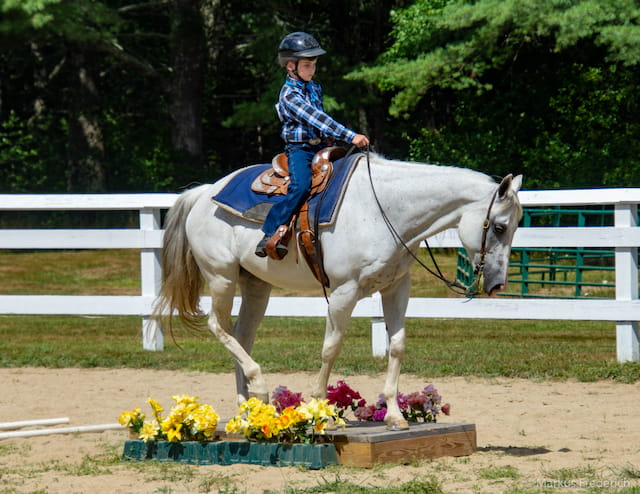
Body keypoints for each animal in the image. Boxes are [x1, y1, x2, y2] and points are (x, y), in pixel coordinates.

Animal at [152, 152, 524, 430]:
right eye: (500, 226)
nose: (498, 284)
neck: (385, 209)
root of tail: (204, 194)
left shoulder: (396, 287)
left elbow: (397, 345)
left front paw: (395, 415)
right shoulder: (344, 293)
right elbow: (330, 349)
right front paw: (320, 410)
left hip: (256, 286)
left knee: (240, 336)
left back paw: (250, 411)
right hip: (221, 278)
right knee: (218, 326)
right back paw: (259, 387)